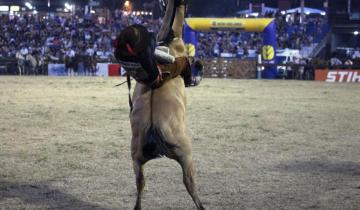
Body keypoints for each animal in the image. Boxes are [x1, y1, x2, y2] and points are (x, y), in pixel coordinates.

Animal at [114, 0, 207, 210]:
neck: (170, 39)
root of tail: (153, 130)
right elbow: (193, 76)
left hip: (137, 158)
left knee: (140, 183)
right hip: (186, 156)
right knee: (190, 184)